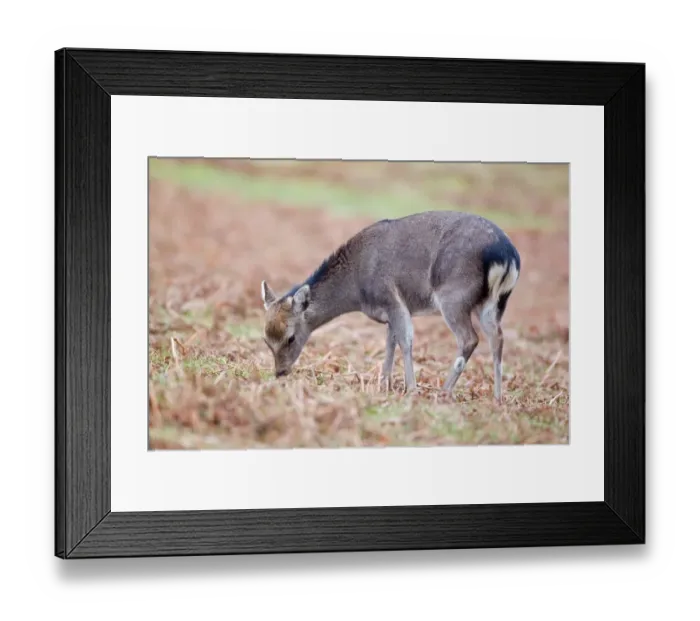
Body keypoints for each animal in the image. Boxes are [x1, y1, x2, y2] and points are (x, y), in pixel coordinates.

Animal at [260, 210, 521, 403]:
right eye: (266, 340)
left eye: (291, 338)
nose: (280, 372)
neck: (358, 290)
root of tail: (507, 255)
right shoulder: (387, 311)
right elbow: (390, 343)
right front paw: (383, 385)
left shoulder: (392, 298)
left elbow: (405, 341)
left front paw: (411, 390)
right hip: (493, 303)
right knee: (497, 338)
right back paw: (498, 399)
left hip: (453, 296)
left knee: (469, 338)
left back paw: (443, 393)